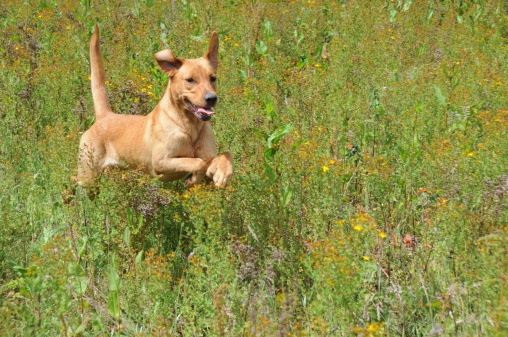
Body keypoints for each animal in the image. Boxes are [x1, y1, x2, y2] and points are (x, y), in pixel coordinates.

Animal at [76, 26, 233, 188]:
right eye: (190, 80)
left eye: (213, 78)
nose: (212, 98)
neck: (189, 127)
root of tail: (104, 115)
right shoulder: (161, 162)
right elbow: (198, 163)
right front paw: (193, 179)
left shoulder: (208, 158)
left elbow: (225, 155)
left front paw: (223, 174)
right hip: (87, 176)